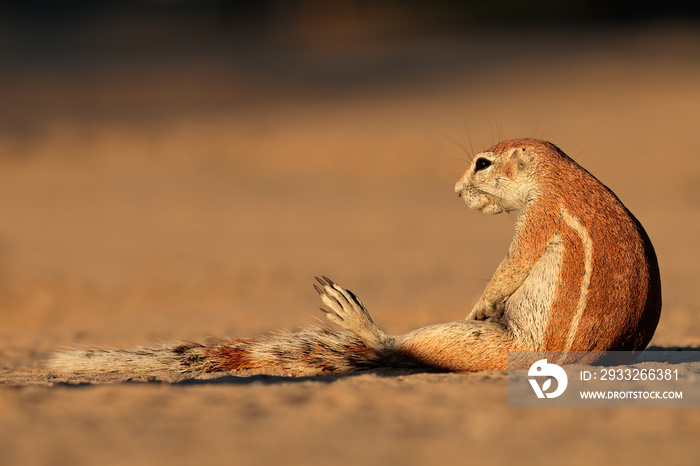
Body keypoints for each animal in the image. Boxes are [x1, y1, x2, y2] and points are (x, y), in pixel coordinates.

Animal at [47, 137, 660, 374]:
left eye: (482, 164)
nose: (455, 190)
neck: (556, 174)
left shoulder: (538, 221)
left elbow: (507, 269)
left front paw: (480, 302)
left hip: (484, 347)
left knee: (402, 345)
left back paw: (358, 319)